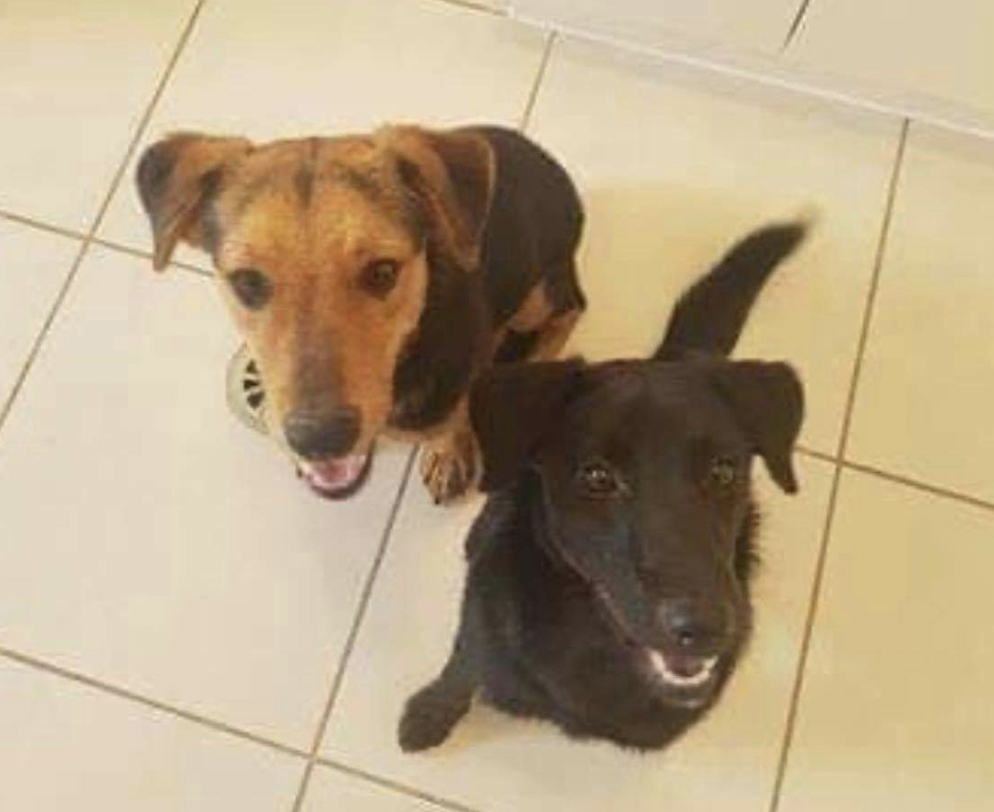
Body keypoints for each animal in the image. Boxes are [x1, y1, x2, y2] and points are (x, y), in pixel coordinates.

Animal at [135, 125, 584, 502]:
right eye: (247, 281)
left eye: (383, 272)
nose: (319, 439)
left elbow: (451, 419)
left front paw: (448, 452)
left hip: (537, 297)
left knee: (572, 309)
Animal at [399, 221, 806, 751]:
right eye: (597, 477)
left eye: (723, 472)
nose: (704, 628)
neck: (592, 637)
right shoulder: (478, 636)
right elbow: (458, 674)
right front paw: (427, 717)